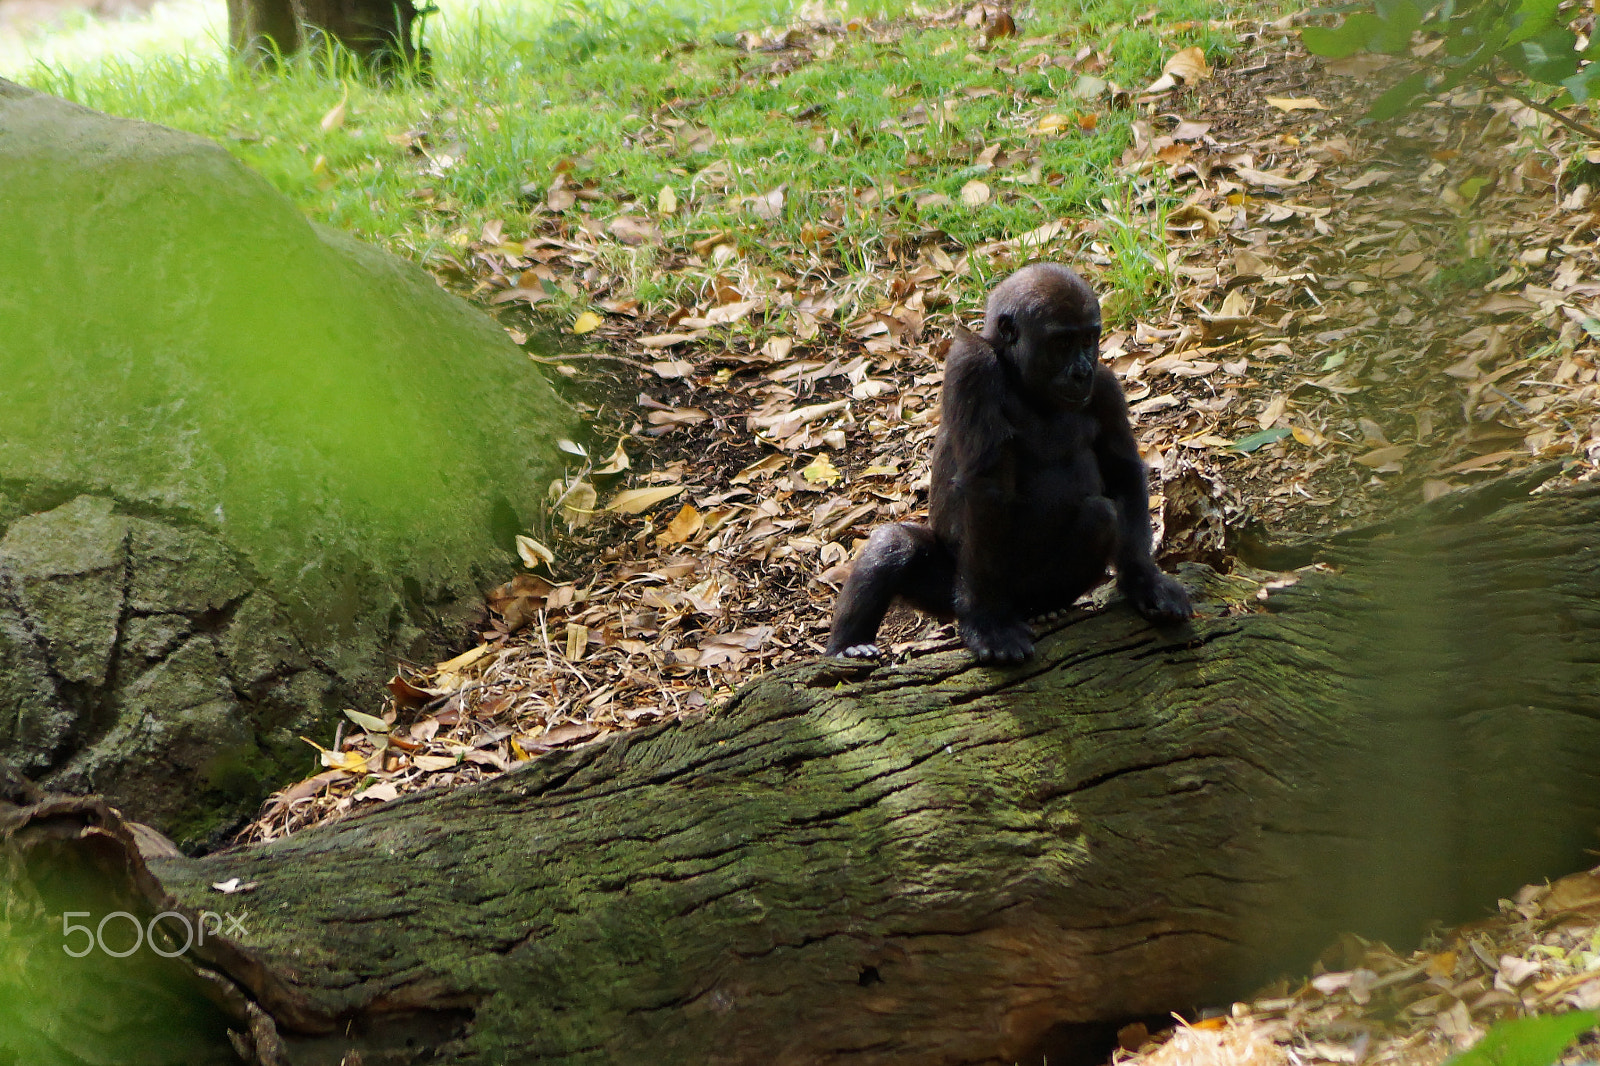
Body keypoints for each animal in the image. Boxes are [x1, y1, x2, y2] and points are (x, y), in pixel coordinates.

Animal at [824, 261, 1192, 665]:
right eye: (1062, 343)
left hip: (1031, 593)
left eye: (1088, 340)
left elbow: (1121, 471)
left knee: (1100, 516)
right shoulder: (972, 366)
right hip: (953, 591)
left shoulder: (1106, 386)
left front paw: (1144, 579)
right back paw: (849, 644)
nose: (1081, 372)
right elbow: (986, 488)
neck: (1021, 380)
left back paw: (1047, 609)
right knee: (895, 546)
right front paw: (987, 622)